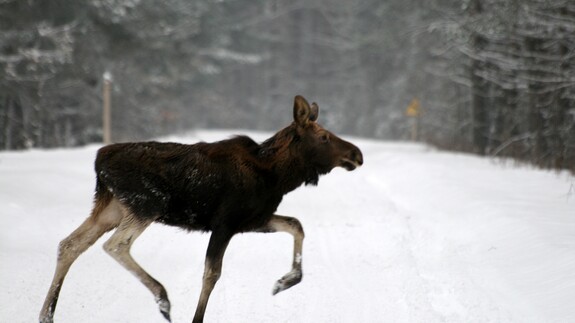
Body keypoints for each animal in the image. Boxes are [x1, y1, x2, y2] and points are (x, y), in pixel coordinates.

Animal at [39, 95, 364, 323]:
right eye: (323, 136)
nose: (357, 154)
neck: (278, 176)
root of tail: (99, 160)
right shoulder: (225, 223)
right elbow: (211, 274)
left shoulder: (253, 219)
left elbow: (296, 224)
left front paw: (285, 281)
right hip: (147, 204)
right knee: (115, 245)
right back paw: (162, 298)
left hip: (112, 208)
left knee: (70, 244)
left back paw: (47, 314)